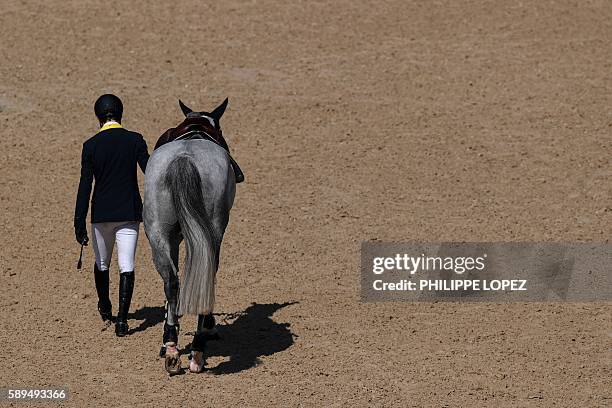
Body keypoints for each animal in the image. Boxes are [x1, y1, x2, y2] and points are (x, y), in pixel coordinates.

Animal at [145, 99, 235, 372]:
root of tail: (185, 158)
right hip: (212, 233)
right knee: (206, 274)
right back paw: (197, 350)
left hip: (157, 233)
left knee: (171, 281)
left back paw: (172, 349)